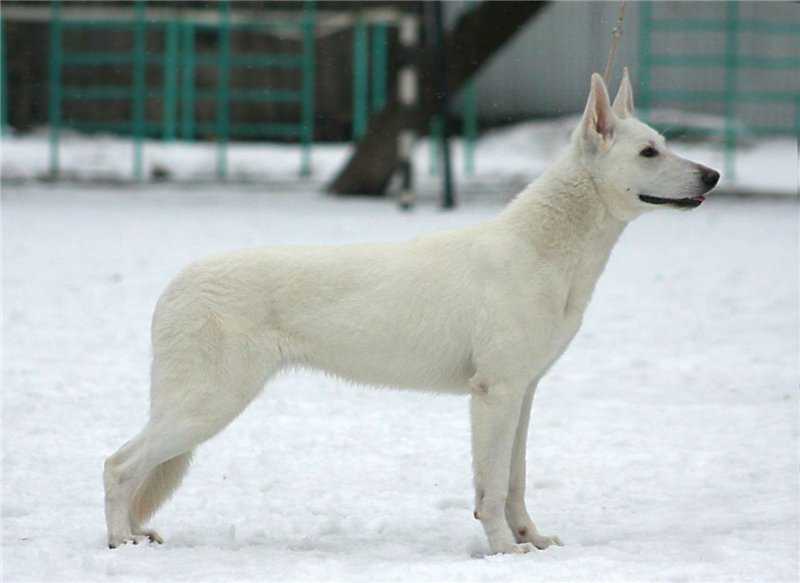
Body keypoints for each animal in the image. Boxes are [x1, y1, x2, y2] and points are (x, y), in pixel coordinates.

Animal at [103, 70, 720, 556]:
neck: (546, 250)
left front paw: (531, 541)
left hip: (199, 407)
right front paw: (503, 549)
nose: (713, 176)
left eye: (665, 144)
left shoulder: (522, 394)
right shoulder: (494, 394)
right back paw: (120, 540)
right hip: (208, 404)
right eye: (649, 153)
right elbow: (492, 487)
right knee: (119, 465)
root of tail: (175, 284)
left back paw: (136, 535)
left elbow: (515, 482)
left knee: (133, 467)